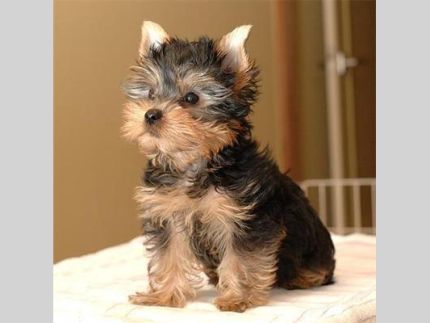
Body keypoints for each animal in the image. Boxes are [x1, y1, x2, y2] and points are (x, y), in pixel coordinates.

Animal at [122, 20, 336, 314]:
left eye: (191, 98)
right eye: (151, 93)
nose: (151, 114)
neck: (195, 162)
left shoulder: (245, 218)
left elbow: (240, 257)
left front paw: (238, 297)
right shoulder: (168, 212)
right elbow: (170, 252)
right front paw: (164, 296)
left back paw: (303, 277)